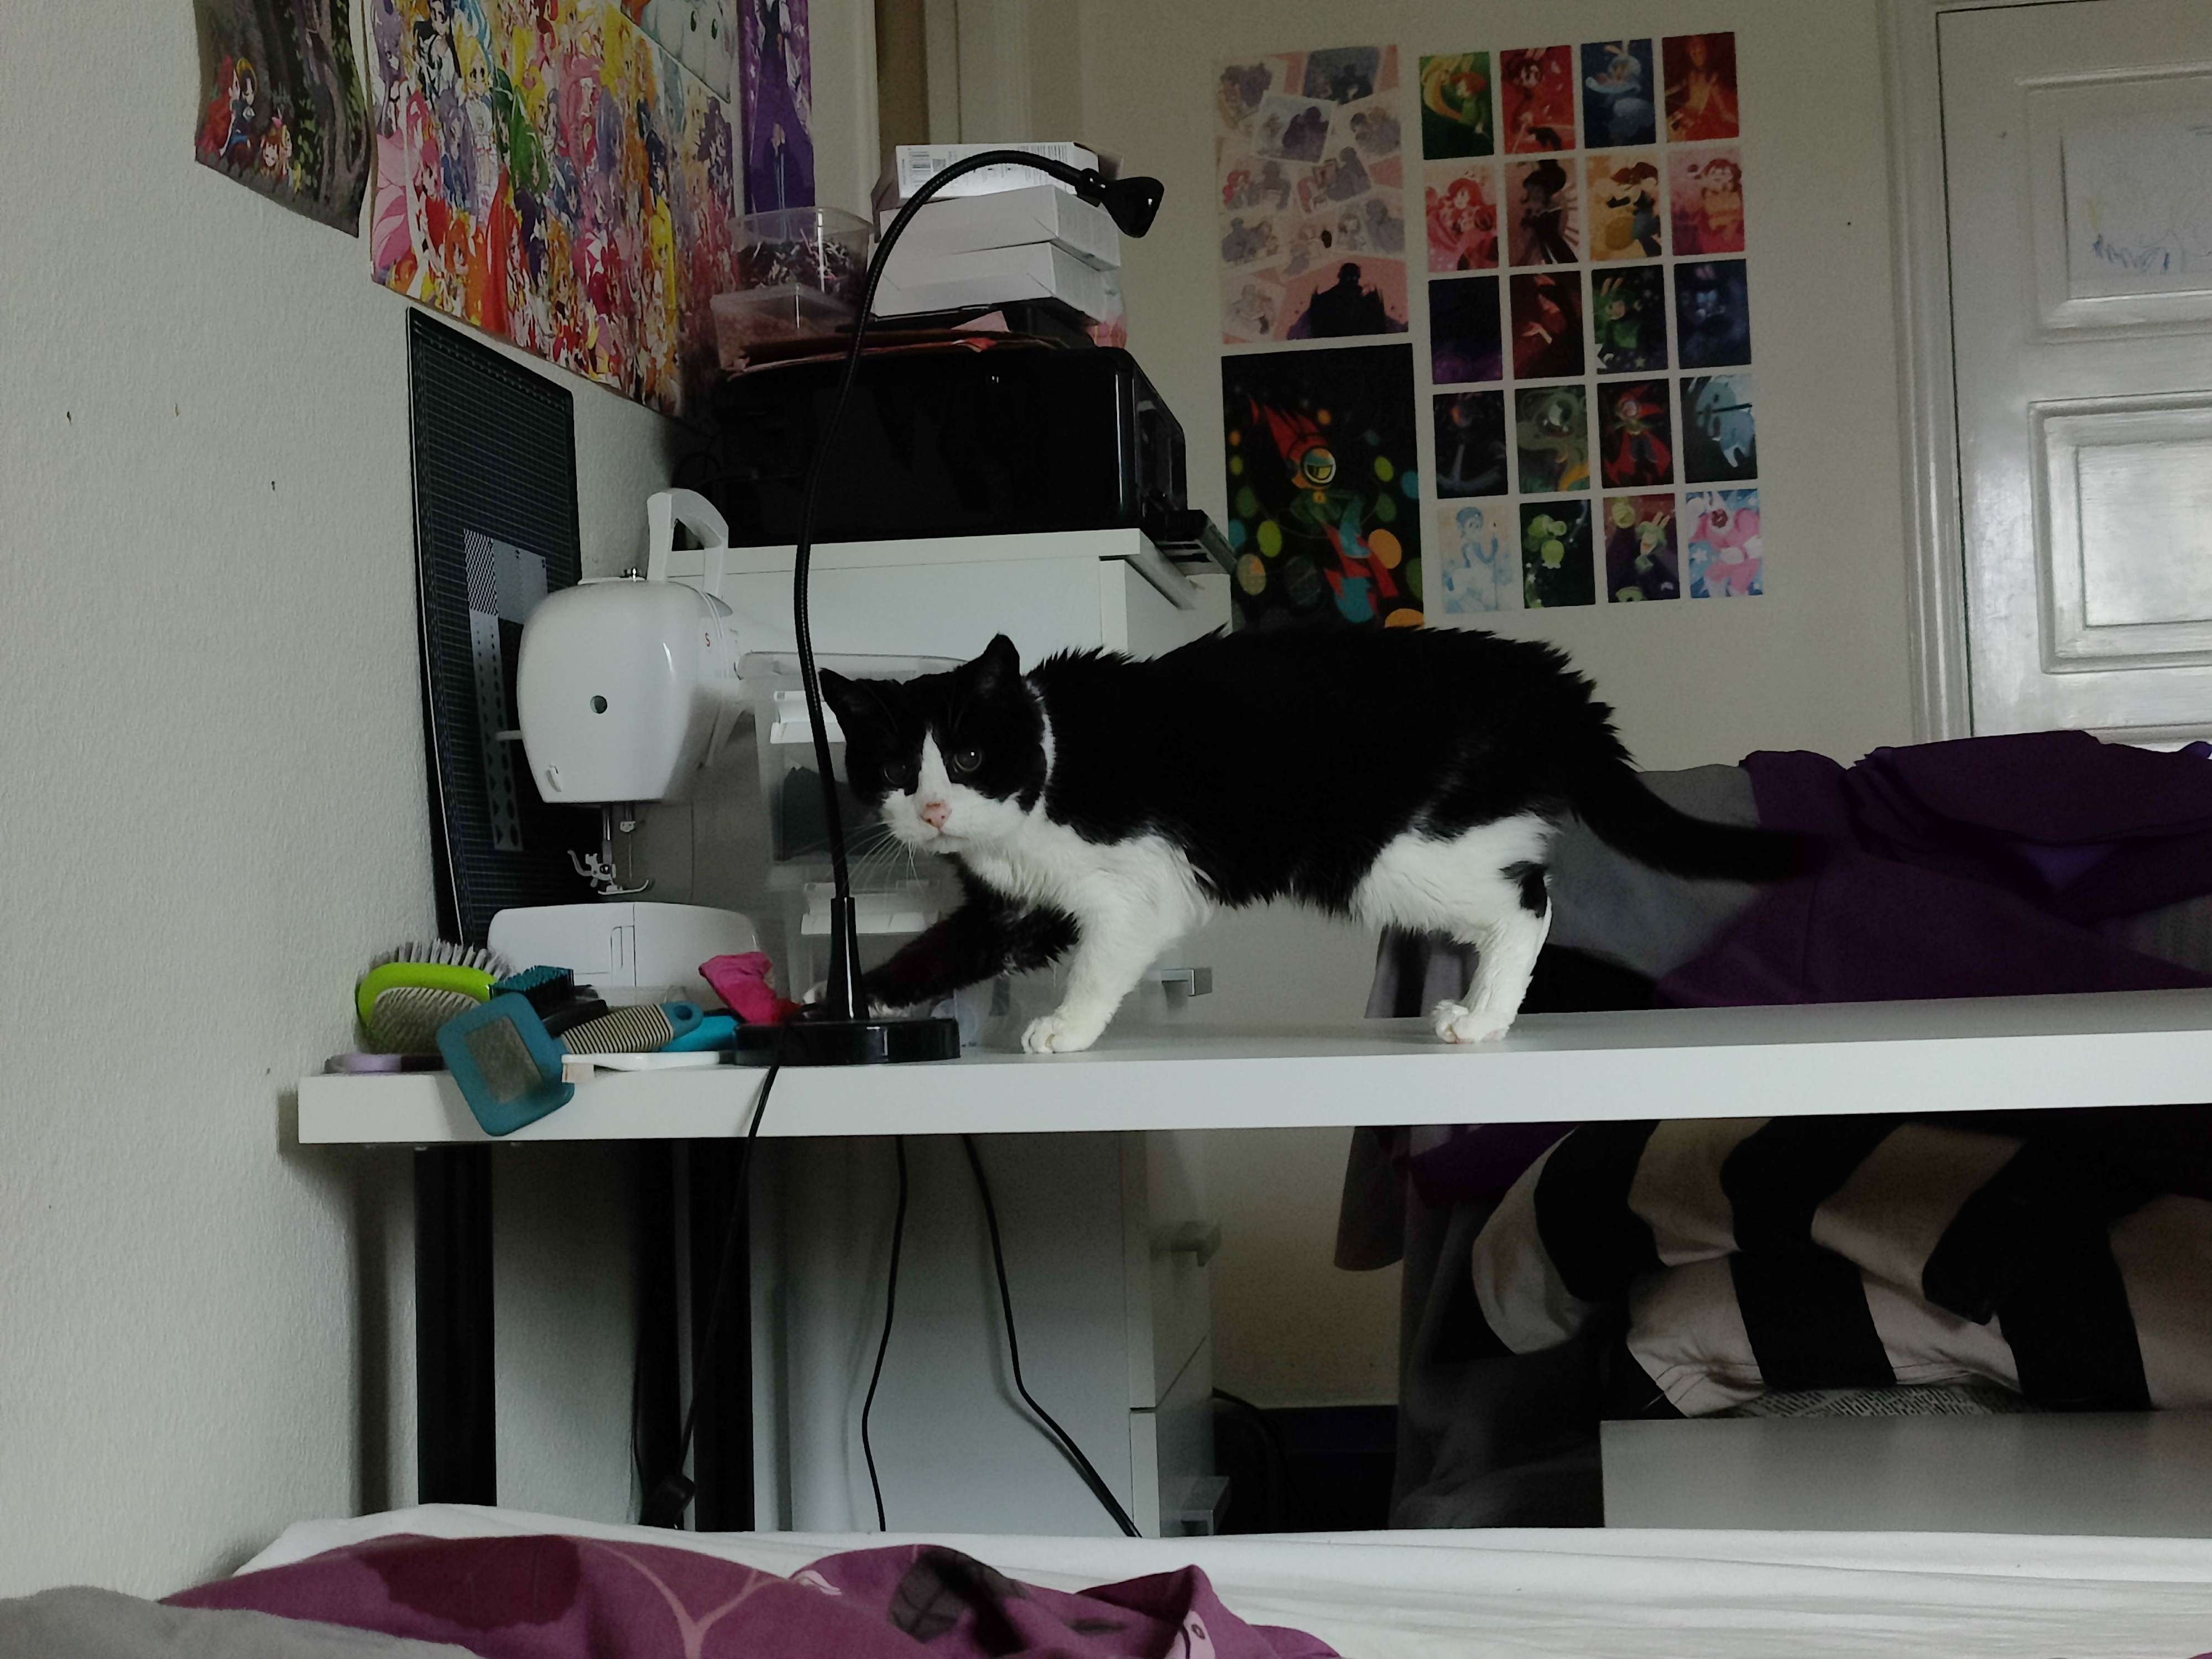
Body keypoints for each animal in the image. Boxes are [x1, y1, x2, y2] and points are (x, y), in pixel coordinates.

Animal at [823, 628, 1805, 1057]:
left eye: (969, 756)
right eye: (896, 771)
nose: (934, 812)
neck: (1049, 768)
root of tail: (1543, 679)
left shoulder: (1133, 891)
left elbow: (1102, 961)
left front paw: (1065, 1027)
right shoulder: (1015, 906)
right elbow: (943, 949)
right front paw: (846, 1003)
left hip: (1391, 856)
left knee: (1529, 902)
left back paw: (1481, 1017)